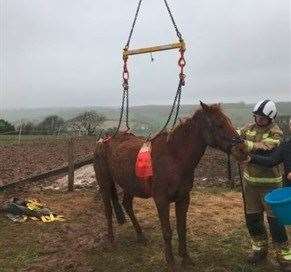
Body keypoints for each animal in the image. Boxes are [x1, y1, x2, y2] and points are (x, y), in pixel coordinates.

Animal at [93, 102, 246, 272]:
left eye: (229, 121)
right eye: (219, 124)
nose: (243, 150)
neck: (174, 159)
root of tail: (104, 140)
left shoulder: (183, 198)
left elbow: (181, 228)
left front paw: (185, 258)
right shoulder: (161, 200)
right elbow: (167, 231)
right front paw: (171, 261)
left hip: (129, 185)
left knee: (127, 205)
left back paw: (140, 236)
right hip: (105, 183)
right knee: (108, 210)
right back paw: (111, 241)